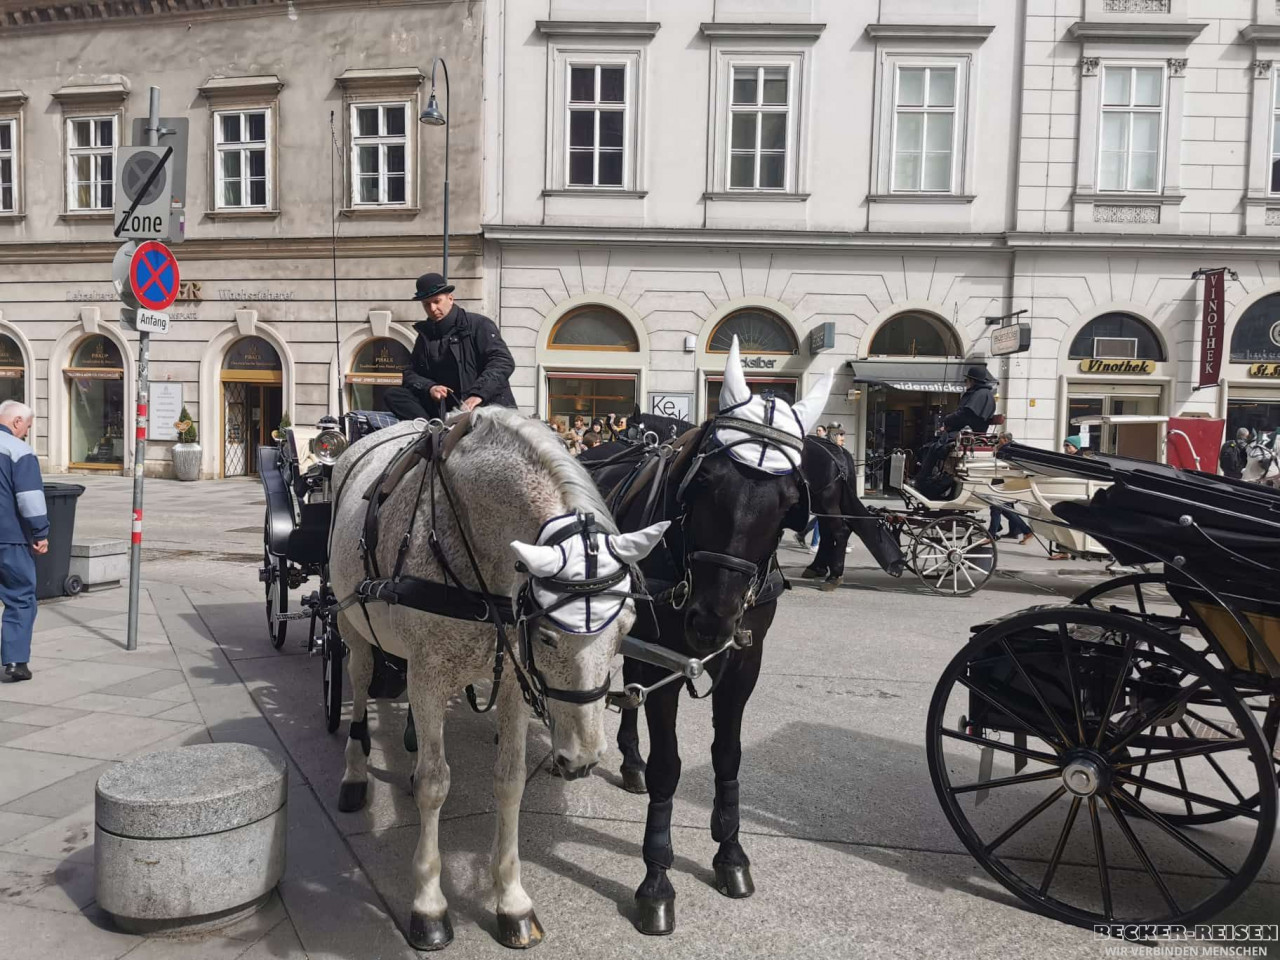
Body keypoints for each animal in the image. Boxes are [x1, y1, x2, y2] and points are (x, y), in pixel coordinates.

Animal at [327, 407, 667, 950]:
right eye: (547, 636)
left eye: (627, 629)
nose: (584, 760)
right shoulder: (428, 674)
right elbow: (435, 784)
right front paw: (429, 904)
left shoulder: (511, 681)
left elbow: (509, 780)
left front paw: (511, 900)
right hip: (349, 623)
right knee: (359, 684)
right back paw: (356, 772)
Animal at [582, 336, 832, 936]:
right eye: (707, 483)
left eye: (789, 502)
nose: (711, 619)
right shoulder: (666, 658)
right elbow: (671, 766)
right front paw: (656, 877)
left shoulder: (744, 663)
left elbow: (728, 756)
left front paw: (731, 853)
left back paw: (629, 760)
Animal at [799, 435, 907, 589]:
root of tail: (838, 453)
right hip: (820, 503)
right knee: (827, 532)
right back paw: (817, 567)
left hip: (826, 502)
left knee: (840, 531)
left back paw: (834, 575)